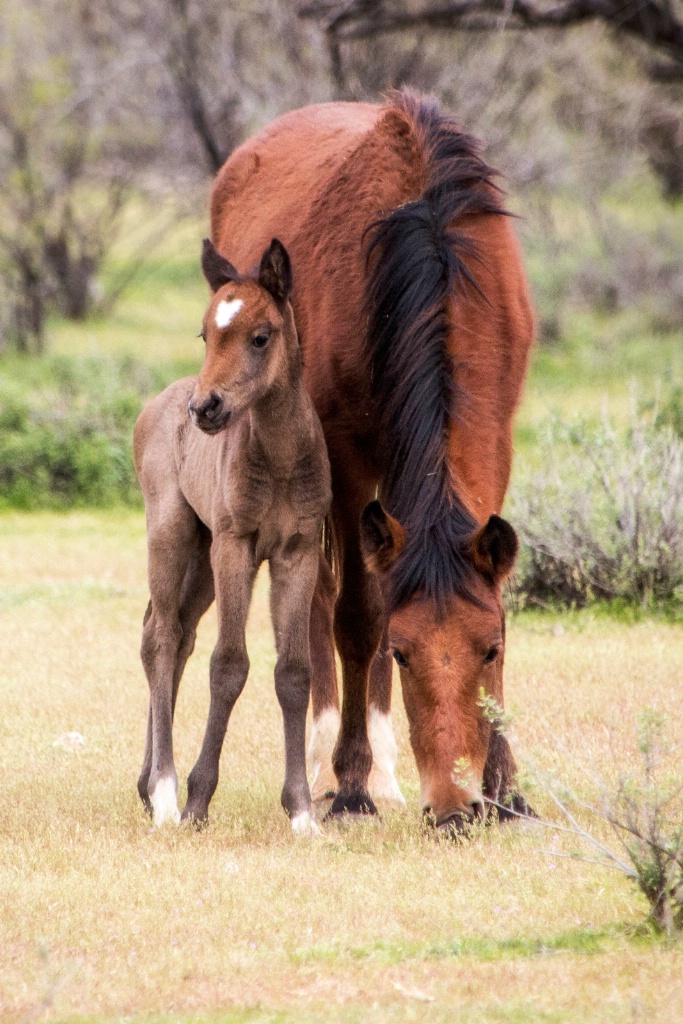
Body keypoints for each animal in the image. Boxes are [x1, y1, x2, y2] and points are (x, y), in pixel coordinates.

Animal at [133, 237, 331, 831]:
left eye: (260, 336)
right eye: (206, 334)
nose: (206, 407)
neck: (282, 461)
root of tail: (159, 402)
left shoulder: (298, 554)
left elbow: (294, 673)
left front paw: (302, 812)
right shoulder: (235, 547)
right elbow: (228, 666)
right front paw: (198, 799)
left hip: (201, 560)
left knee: (172, 634)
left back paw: (146, 786)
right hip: (173, 535)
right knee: (162, 638)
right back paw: (166, 793)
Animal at [208, 92, 532, 831]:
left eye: (489, 650)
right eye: (408, 656)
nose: (454, 806)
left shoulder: (496, 442)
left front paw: (507, 787)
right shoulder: (346, 462)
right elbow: (358, 619)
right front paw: (351, 782)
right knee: (322, 601)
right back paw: (336, 763)